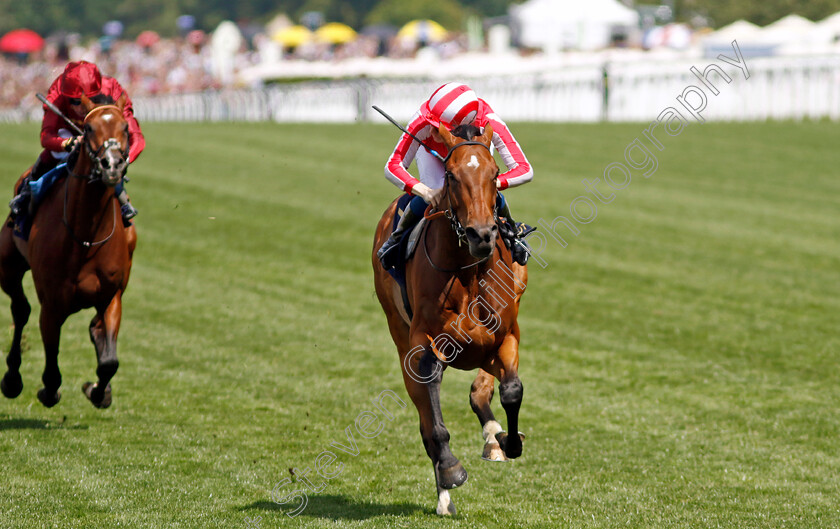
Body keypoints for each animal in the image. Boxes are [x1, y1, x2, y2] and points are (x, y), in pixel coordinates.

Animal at [0, 94, 137, 408]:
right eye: (87, 128)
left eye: (125, 127)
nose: (112, 165)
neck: (86, 238)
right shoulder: (52, 305)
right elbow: (52, 367)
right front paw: (48, 392)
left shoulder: (111, 296)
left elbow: (109, 362)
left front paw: (98, 391)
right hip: (7, 265)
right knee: (20, 309)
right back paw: (12, 379)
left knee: (95, 328)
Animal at [372, 122, 528, 512]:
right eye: (452, 176)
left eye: (495, 173)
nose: (482, 235)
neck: (468, 271)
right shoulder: (424, 344)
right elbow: (434, 418)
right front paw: (451, 469)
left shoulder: (507, 335)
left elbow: (511, 390)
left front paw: (509, 442)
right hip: (399, 334)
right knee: (426, 421)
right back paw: (444, 492)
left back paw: (493, 437)